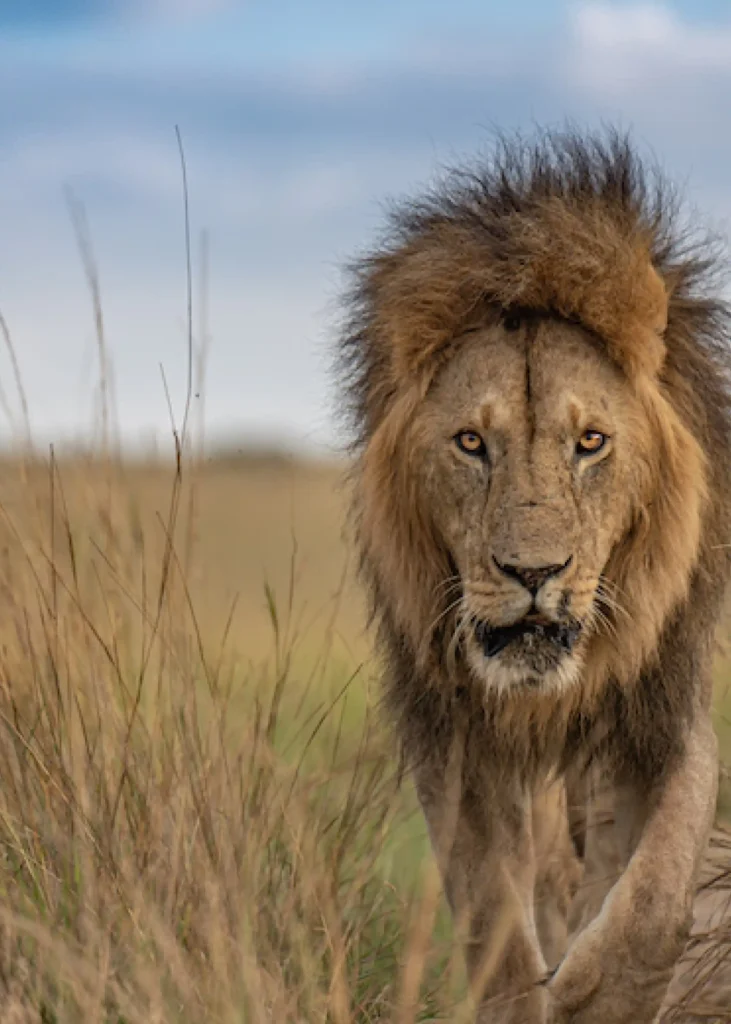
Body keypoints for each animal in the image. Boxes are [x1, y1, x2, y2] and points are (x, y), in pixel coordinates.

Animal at [336, 129, 731, 1023]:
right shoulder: (448, 728)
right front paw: (530, 994)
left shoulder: (661, 702)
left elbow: (655, 892)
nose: (533, 572)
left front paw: (599, 996)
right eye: (470, 443)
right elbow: (490, 907)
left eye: (589, 442)